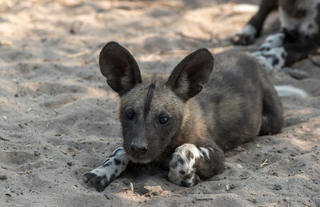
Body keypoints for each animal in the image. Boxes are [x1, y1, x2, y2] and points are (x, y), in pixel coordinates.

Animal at [84, 41, 282, 192]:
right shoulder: (130, 144)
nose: (138, 148)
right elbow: (119, 151)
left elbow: (184, 151)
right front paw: (101, 172)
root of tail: (248, 56)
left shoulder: (217, 155)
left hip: (271, 123)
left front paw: (185, 177)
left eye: (164, 119)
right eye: (129, 114)